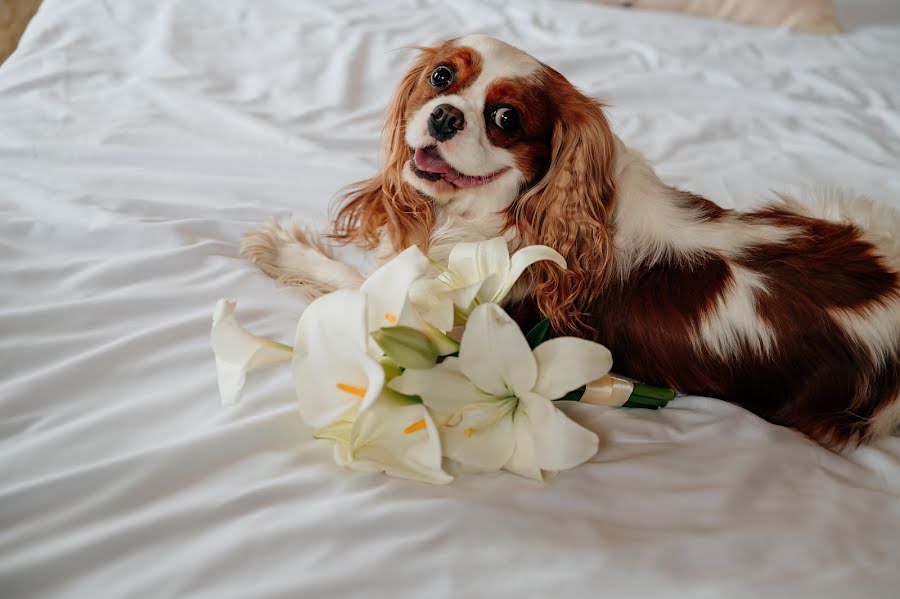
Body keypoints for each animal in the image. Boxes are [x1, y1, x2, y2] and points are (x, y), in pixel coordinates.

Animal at [241, 35, 900, 448]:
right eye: (440, 77)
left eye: (505, 119)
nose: (446, 115)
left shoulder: (451, 338)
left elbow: (352, 285)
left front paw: (283, 249)